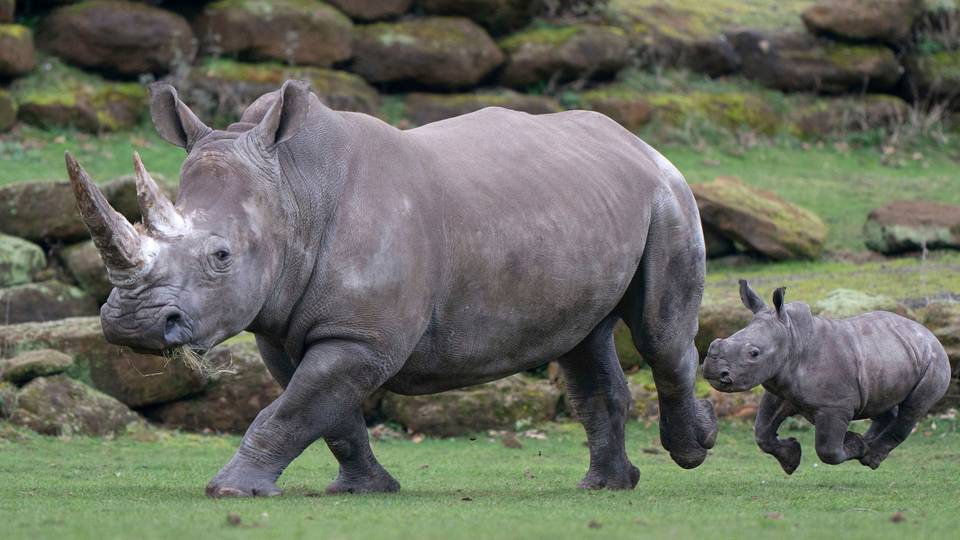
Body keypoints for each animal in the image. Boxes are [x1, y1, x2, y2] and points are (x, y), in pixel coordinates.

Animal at [64, 80, 717, 497]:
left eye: (221, 256)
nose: (133, 325)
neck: (295, 190)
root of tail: (636, 142)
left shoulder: (361, 336)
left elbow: (295, 409)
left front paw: (229, 491)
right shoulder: (288, 328)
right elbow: (324, 412)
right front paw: (365, 489)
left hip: (668, 197)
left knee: (659, 337)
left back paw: (690, 450)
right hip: (585, 204)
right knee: (582, 342)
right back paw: (605, 486)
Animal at [703, 281, 950, 474]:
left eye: (754, 353)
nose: (713, 372)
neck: (793, 337)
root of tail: (928, 333)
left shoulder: (835, 406)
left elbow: (827, 451)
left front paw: (854, 444)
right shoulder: (781, 389)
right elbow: (762, 431)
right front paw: (791, 460)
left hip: (935, 362)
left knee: (912, 409)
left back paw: (870, 456)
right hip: (890, 354)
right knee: (882, 400)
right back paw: (867, 444)